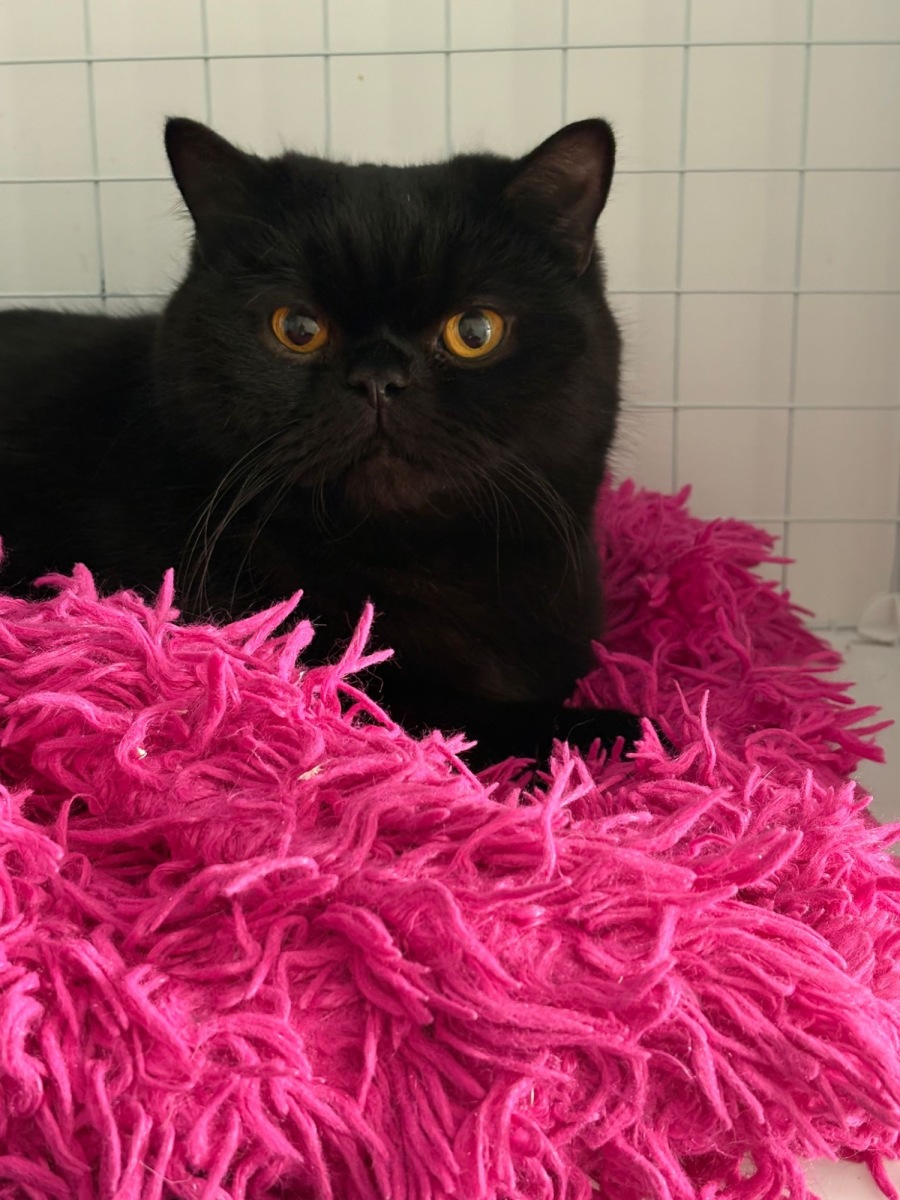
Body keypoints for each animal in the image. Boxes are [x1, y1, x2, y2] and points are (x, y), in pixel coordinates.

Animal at [0, 116, 660, 769]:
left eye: (475, 331)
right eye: (297, 328)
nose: (378, 378)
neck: (416, 561)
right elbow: (455, 718)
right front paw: (628, 734)